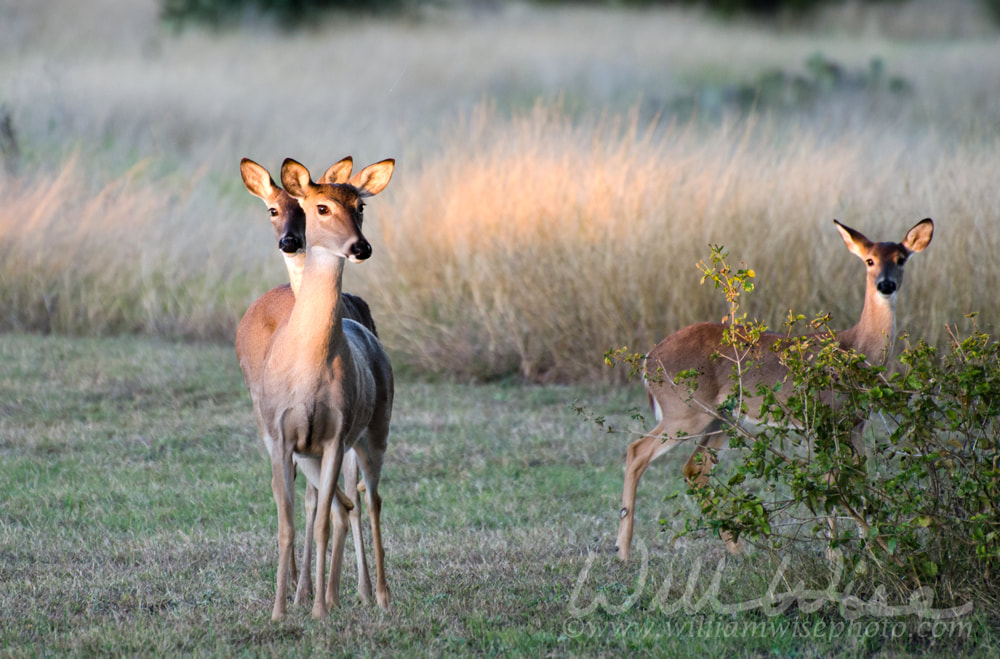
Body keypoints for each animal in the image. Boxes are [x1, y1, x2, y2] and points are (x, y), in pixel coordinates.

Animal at [612, 219, 932, 560]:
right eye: (869, 260)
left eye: (901, 259)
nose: (886, 285)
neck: (855, 348)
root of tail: (649, 359)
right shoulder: (827, 420)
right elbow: (834, 482)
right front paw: (840, 554)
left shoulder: (854, 424)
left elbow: (858, 478)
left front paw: (872, 547)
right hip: (685, 412)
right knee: (637, 451)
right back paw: (623, 552)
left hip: (723, 419)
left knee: (695, 469)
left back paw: (740, 551)